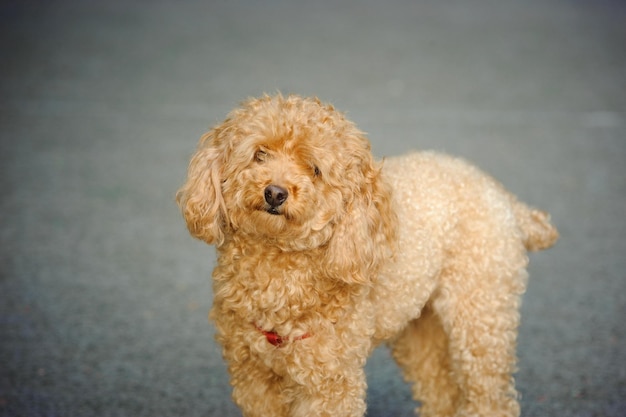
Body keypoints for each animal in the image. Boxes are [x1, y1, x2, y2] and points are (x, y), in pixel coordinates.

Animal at [176, 94, 556, 416]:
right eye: (260, 154)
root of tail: (503, 196)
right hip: (419, 325)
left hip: (481, 314)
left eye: (314, 169)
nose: (275, 192)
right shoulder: (253, 375)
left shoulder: (329, 382)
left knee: (489, 395)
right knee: (440, 391)